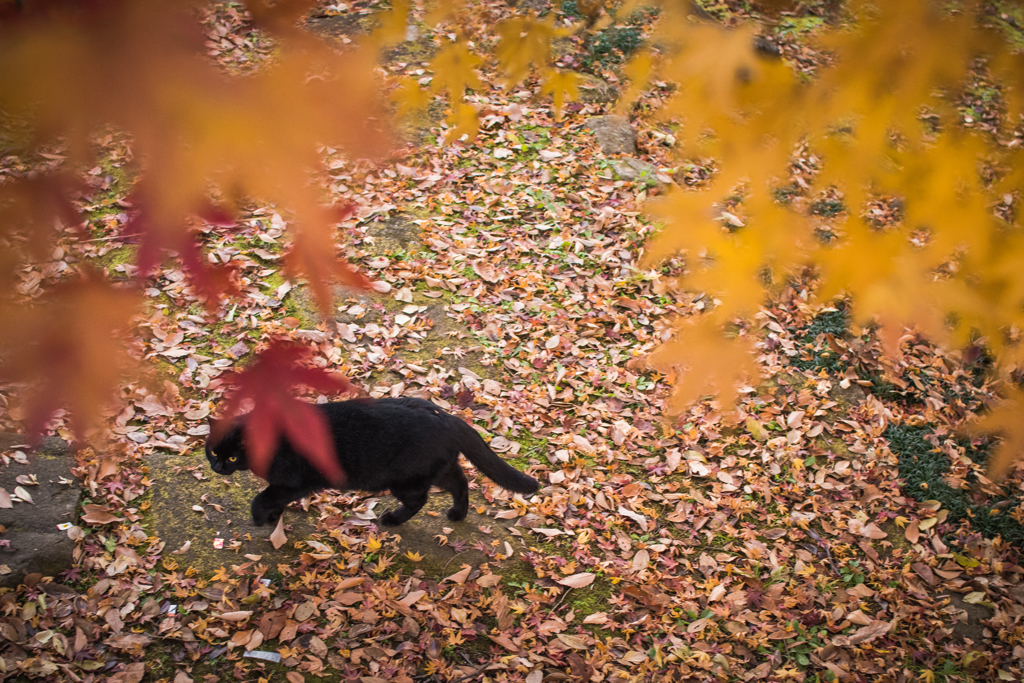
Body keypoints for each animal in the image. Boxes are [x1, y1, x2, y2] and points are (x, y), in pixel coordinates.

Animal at [204, 397, 540, 528]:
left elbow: (263, 497)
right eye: (212, 452)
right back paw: (457, 514)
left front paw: (261, 518)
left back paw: (393, 520)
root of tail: (448, 417)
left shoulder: (294, 482)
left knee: (419, 500)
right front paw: (274, 518)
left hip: (405, 479)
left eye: (232, 456)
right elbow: (273, 499)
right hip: (435, 469)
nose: (218, 466)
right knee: (460, 482)